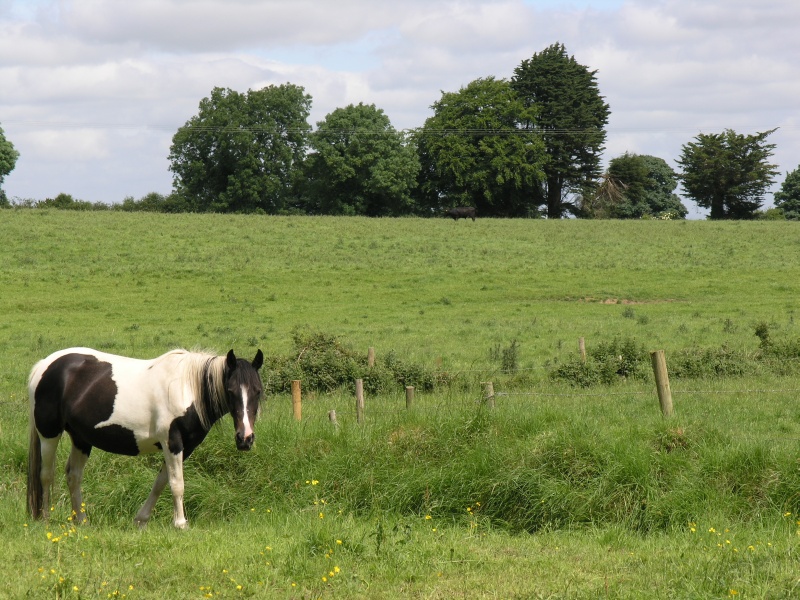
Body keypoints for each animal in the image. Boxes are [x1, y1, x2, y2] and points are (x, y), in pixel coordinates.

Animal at [26, 346, 264, 528]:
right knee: (46, 475)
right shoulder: (172, 442)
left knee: (73, 476)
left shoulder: (184, 448)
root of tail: (44, 365)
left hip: (81, 439)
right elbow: (177, 483)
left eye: (258, 391)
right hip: (49, 434)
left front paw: (141, 520)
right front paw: (180, 524)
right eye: (230, 390)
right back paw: (46, 519)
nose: (245, 438)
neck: (186, 388)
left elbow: (161, 482)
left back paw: (81, 521)